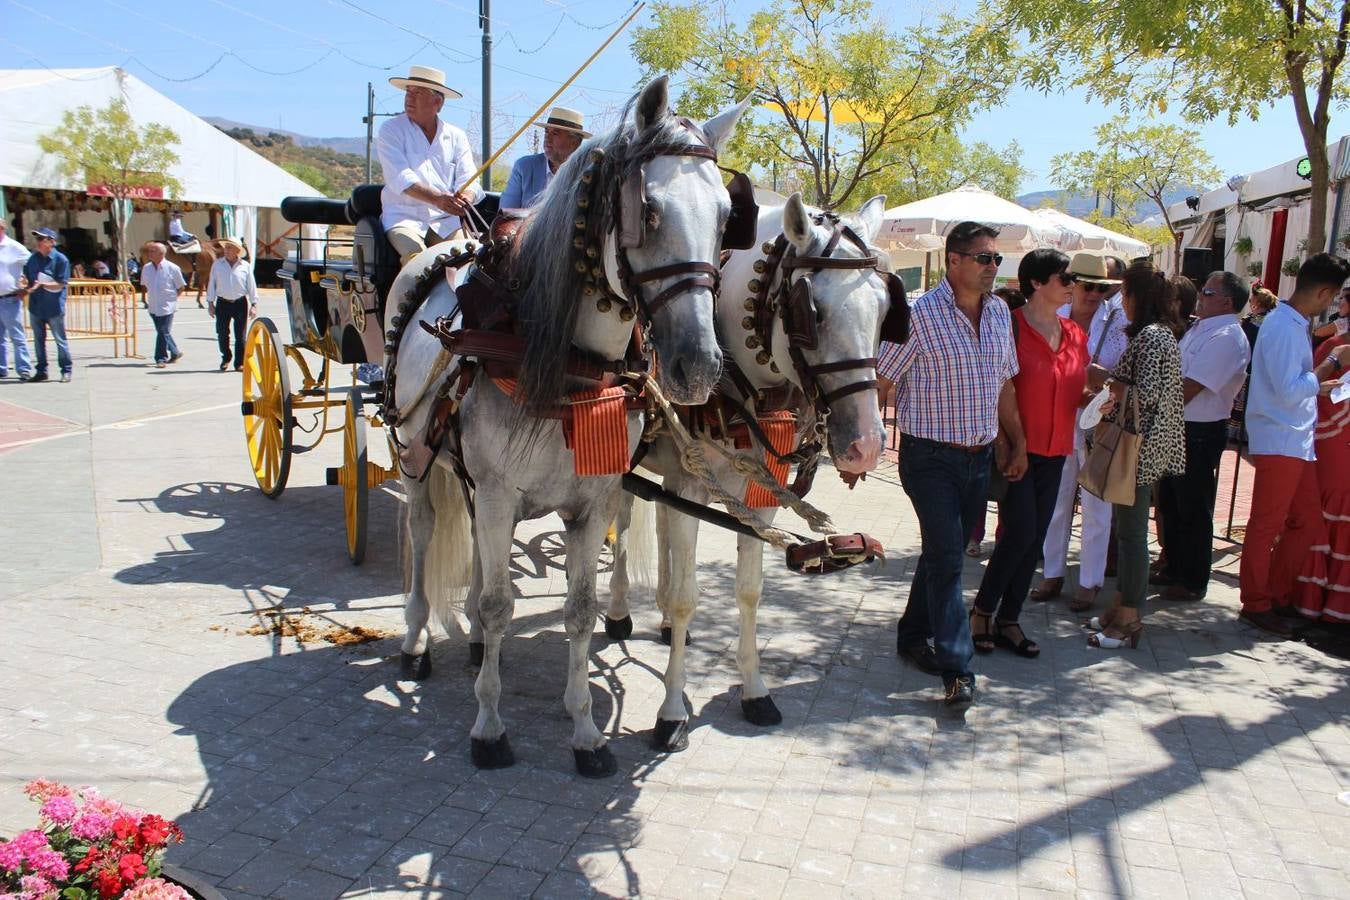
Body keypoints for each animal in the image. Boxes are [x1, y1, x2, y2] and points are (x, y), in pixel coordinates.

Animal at [386, 76, 750, 777]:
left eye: (725, 218)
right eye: (649, 211)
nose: (697, 366)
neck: (566, 362)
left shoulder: (593, 499)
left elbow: (580, 612)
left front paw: (584, 729)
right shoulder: (500, 492)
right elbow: (501, 605)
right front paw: (490, 727)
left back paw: (475, 641)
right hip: (418, 457)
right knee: (420, 535)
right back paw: (417, 641)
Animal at [605, 192, 907, 750]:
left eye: (884, 310)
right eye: (812, 312)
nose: (867, 446)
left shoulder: (757, 499)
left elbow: (748, 592)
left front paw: (754, 690)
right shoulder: (693, 487)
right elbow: (688, 597)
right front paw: (672, 712)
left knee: (658, 522)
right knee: (626, 517)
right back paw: (618, 613)